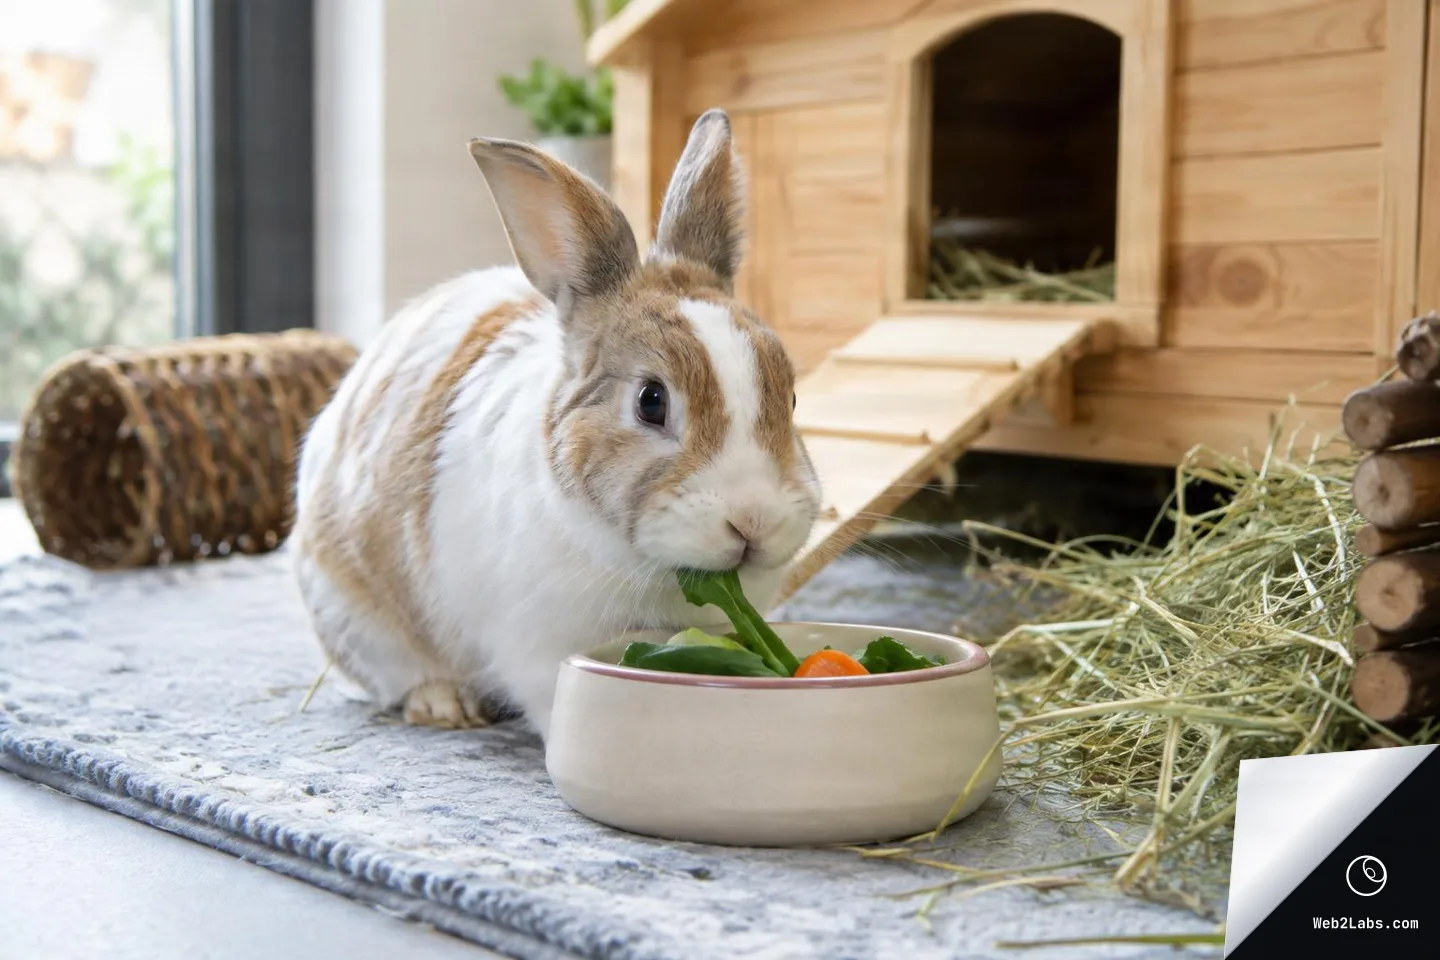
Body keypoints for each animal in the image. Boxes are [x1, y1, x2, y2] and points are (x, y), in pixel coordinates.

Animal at [291, 109, 822, 741]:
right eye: (650, 401)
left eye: (791, 397)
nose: (753, 521)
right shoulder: (537, 649)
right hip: (359, 619)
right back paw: (445, 706)